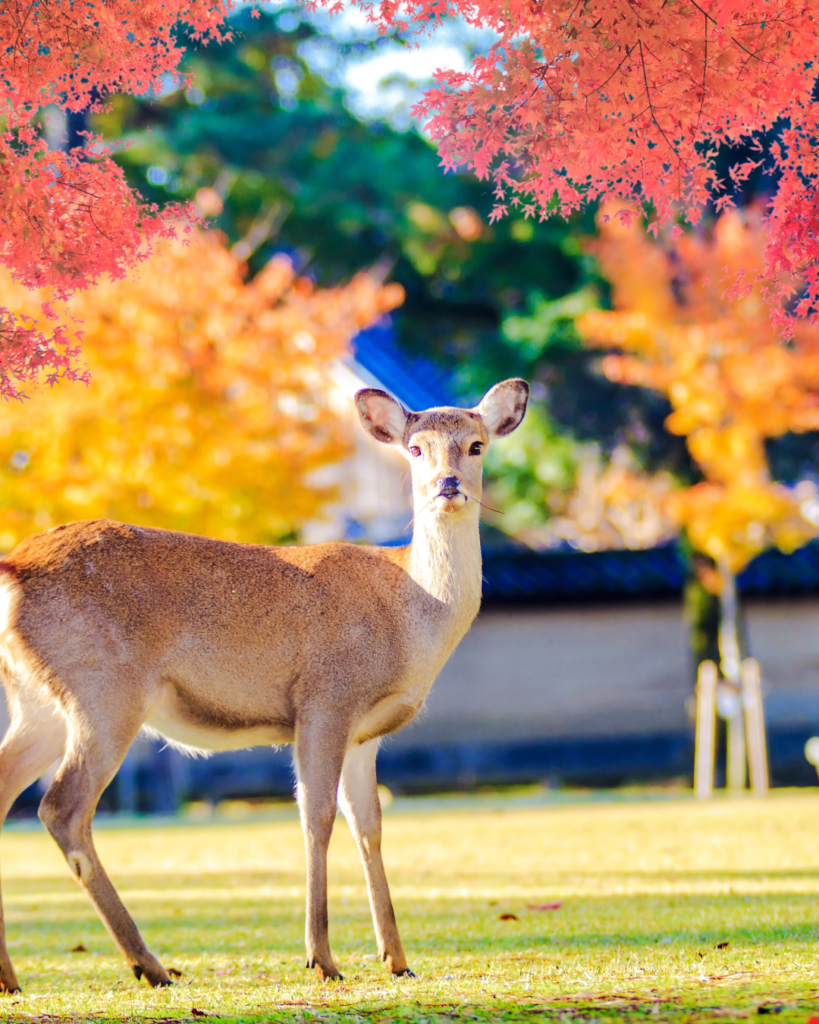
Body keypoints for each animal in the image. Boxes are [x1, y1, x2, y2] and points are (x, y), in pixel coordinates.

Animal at [0, 378, 528, 991]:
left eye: (476, 445)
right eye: (415, 448)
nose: (448, 485)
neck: (410, 614)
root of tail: (12, 570)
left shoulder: (365, 734)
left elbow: (369, 825)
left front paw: (397, 959)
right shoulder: (325, 697)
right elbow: (316, 817)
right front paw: (322, 959)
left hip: (39, 704)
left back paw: (12, 977)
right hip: (104, 689)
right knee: (62, 807)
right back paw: (150, 965)